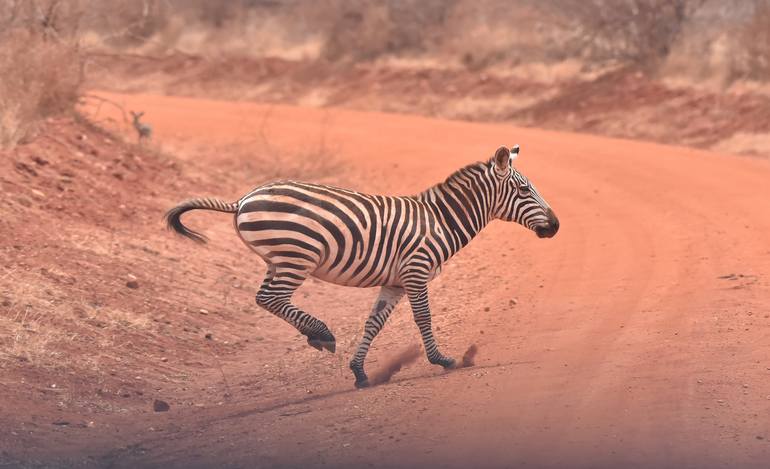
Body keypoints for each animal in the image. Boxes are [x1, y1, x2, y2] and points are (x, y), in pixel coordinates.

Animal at [165, 146, 556, 388]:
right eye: (524, 190)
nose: (555, 226)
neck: (440, 219)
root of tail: (242, 199)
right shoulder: (416, 271)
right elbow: (424, 318)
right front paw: (442, 360)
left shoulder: (395, 282)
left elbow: (374, 323)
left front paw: (359, 372)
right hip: (298, 256)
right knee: (270, 299)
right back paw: (321, 333)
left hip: (278, 259)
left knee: (266, 298)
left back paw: (315, 334)